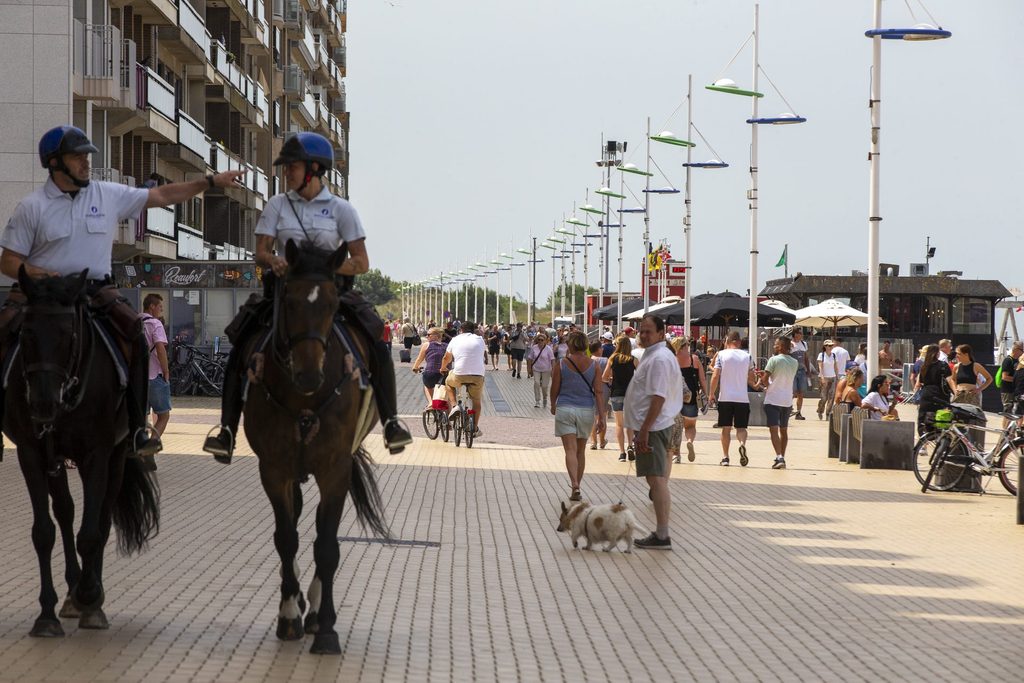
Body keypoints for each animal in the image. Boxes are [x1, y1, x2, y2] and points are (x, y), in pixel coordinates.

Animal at [4, 266, 159, 634]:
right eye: (26, 332)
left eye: (68, 334)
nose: (42, 403)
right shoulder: (31, 454)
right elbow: (44, 531)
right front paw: (46, 614)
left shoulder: (97, 455)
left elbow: (91, 532)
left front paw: (91, 596)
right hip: (55, 459)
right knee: (65, 511)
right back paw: (72, 592)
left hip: (117, 456)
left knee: (100, 518)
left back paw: (87, 595)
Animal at [241, 241, 389, 655]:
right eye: (288, 299)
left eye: (332, 302)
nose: (309, 374)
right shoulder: (274, 469)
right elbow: (286, 537)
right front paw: (289, 613)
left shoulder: (335, 469)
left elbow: (327, 545)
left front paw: (325, 629)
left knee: (324, 528)